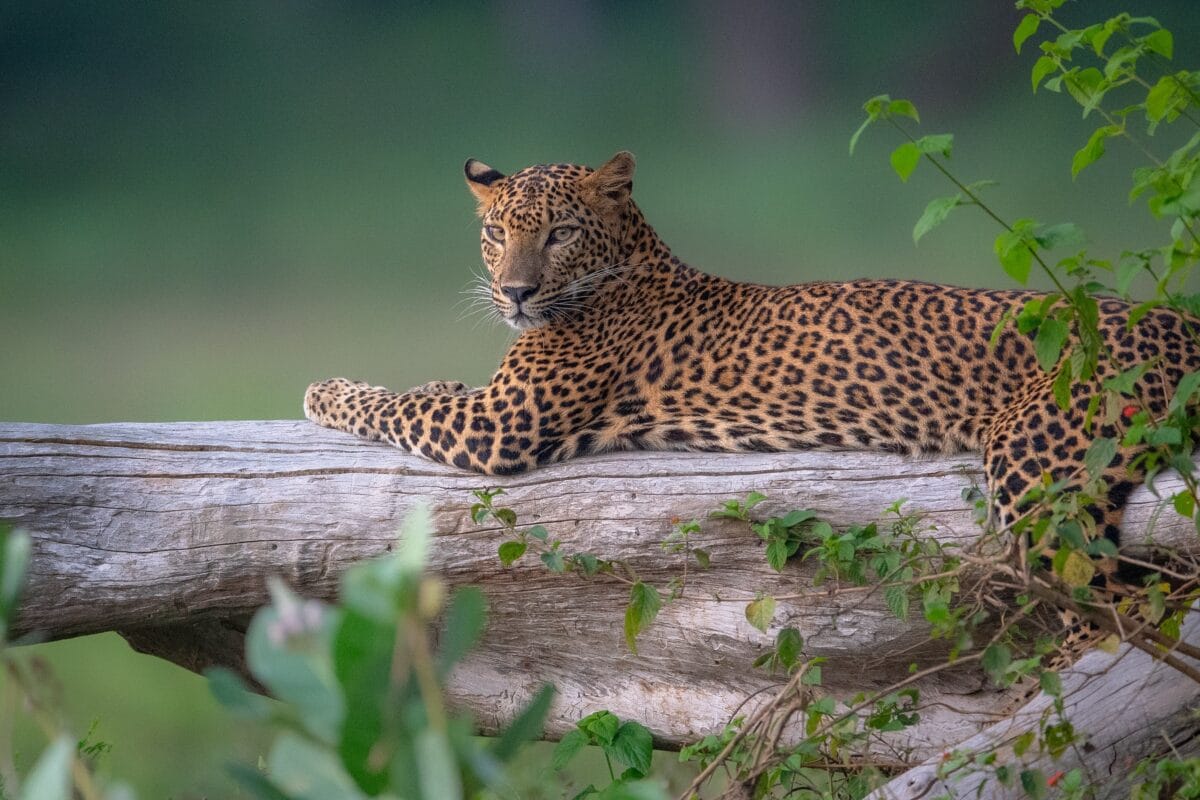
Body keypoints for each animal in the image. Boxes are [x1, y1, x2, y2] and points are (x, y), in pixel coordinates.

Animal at [304, 151, 1197, 589]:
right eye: (495, 234)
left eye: (558, 234)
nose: (513, 292)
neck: (628, 260)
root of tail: (1181, 324)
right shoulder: (492, 400)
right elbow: (427, 392)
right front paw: (419, 379)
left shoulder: (499, 426)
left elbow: (390, 407)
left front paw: (324, 389)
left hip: (1039, 466)